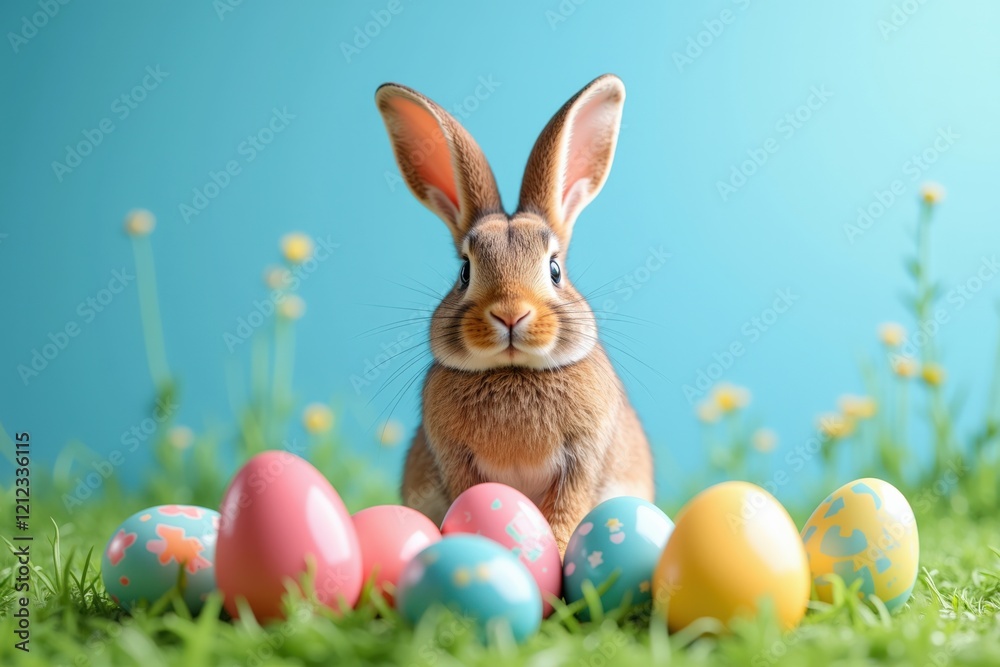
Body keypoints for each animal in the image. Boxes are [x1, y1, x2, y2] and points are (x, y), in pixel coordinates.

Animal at [375, 74, 654, 552]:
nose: (510, 315)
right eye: (465, 271)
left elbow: (566, 513)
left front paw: (556, 555)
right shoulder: (455, 460)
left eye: (555, 269)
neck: (514, 371)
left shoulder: (582, 460)